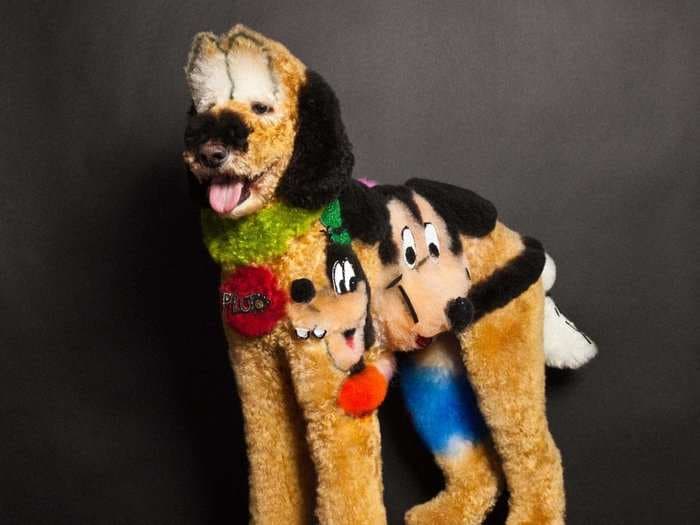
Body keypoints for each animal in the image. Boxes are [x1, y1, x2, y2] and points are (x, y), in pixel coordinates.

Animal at [183, 25, 592, 524]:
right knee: (477, 463)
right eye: (206, 108)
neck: (285, 239)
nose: (210, 152)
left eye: (261, 107)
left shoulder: (333, 387)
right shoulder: (258, 382)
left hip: (500, 353)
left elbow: (347, 490)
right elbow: (272, 479)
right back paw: (447, 513)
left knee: (536, 452)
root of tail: (508, 232)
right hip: (432, 371)